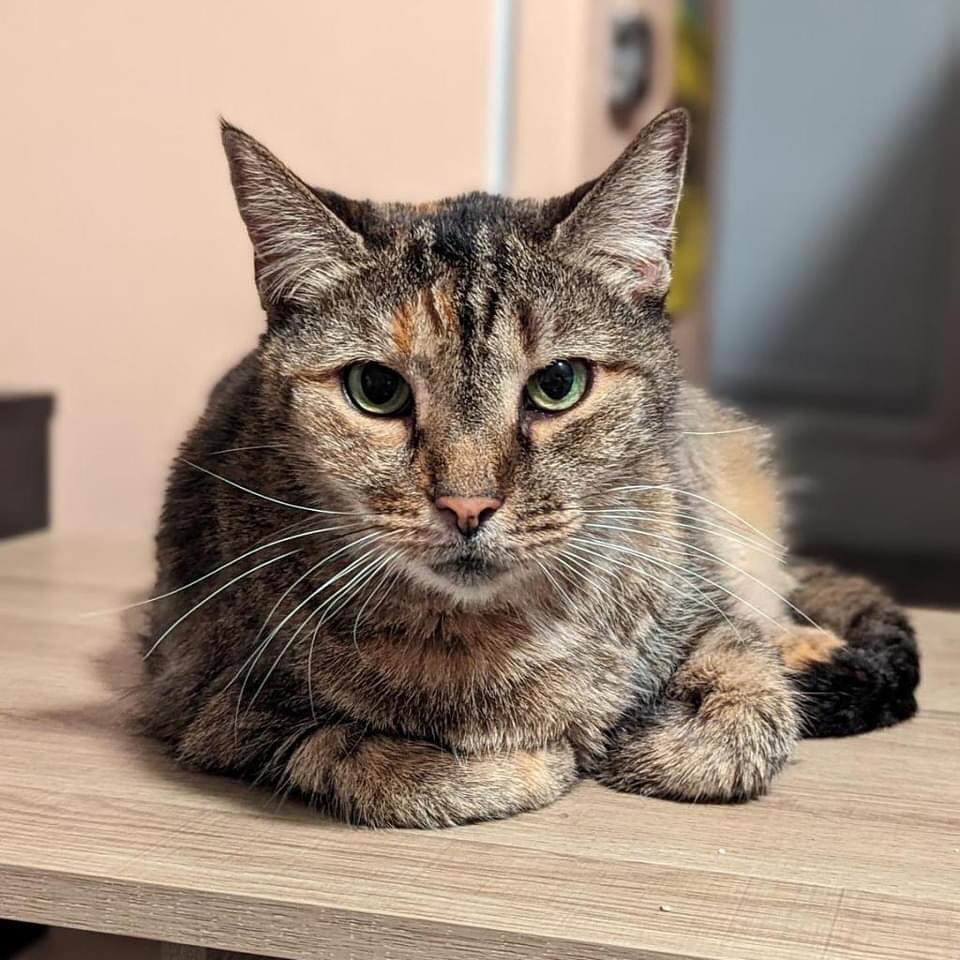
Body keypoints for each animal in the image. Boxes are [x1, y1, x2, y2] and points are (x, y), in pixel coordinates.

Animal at [139, 107, 920, 824]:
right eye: (376, 389)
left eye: (559, 385)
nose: (467, 506)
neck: (482, 638)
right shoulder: (203, 705)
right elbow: (373, 762)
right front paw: (536, 757)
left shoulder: (705, 607)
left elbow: (744, 715)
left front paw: (639, 733)